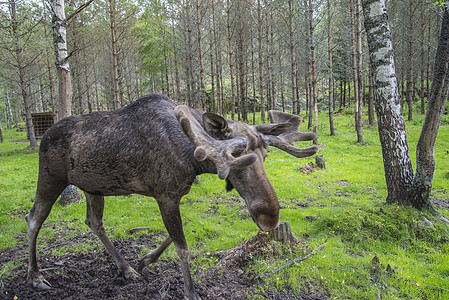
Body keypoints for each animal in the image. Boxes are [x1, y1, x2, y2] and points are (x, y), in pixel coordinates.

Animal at [26, 93, 316, 298]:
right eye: (238, 160)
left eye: (265, 156)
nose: (270, 217)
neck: (194, 157)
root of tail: (44, 135)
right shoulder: (164, 194)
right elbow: (183, 248)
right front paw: (190, 292)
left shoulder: (174, 194)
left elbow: (179, 231)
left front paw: (145, 260)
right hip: (51, 177)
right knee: (33, 218)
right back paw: (36, 278)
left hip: (93, 186)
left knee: (94, 222)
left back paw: (127, 269)